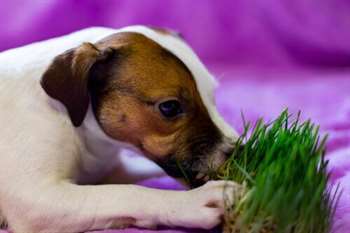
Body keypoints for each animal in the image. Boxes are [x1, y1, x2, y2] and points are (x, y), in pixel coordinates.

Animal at [0, 26, 239, 233]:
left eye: (213, 94)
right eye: (169, 107)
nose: (238, 149)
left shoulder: (112, 169)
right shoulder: (39, 198)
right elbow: (127, 193)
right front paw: (193, 201)